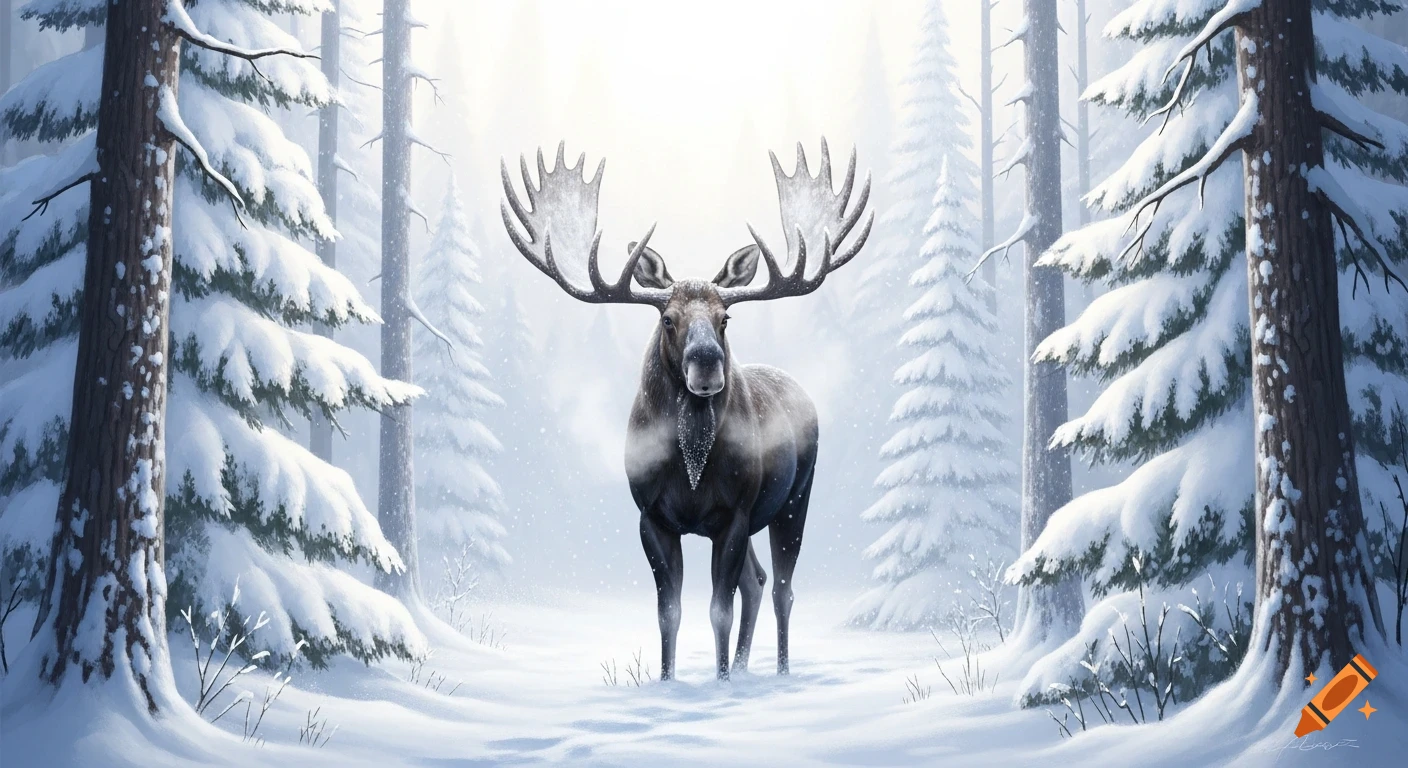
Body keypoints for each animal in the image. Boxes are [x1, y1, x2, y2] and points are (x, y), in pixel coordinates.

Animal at [501, 140, 872, 680]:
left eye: (725, 318)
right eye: (668, 319)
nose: (708, 364)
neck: (692, 468)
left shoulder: (735, 513)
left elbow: (718, 609)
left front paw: (718, 681)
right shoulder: (650, 516)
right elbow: (669, 611)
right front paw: (670, 678)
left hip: (795, 498)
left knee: (781, 589)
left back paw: (779, 672)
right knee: (758, 581)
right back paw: (745, 668)